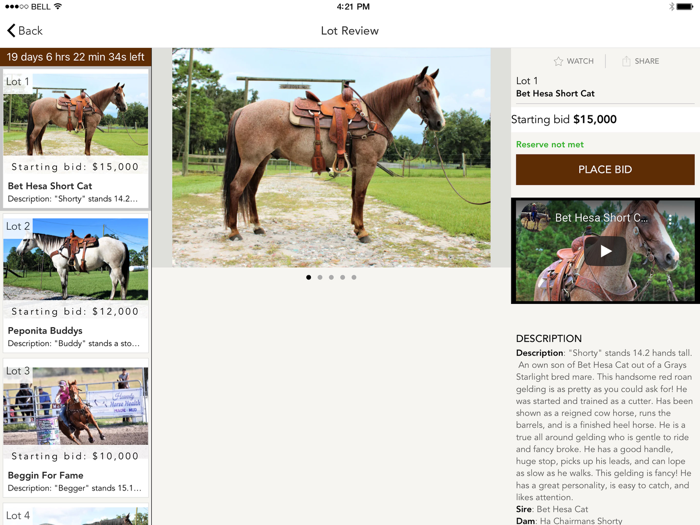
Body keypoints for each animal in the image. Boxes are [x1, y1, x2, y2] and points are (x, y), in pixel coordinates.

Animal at [222, 66, 445, 243]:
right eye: (424, 92)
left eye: (437, 92)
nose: (440, 123)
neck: (371, 118)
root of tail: (243, 110)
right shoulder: (367, 164)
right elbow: (361, 195)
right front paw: (362, 231)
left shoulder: (357, 166)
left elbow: (354, 194)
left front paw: (356, 226)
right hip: (250, 161)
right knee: (236, 187)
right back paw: (234, 231)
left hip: (262, 161)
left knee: (251, 190)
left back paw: (257, 226)